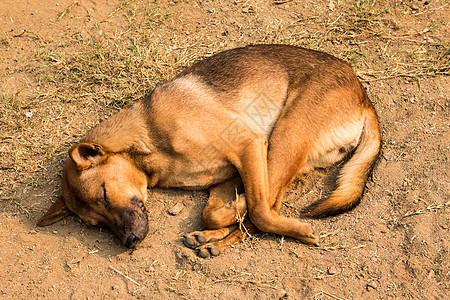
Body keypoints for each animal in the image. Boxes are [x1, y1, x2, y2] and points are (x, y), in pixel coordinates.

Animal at [37, 44, 380, 258]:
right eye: (95, 224)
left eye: (106, 195)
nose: (129, 241)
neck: (150, 139)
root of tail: (363, 97)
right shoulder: (225, 177)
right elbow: (213, 212)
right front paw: (225, 217)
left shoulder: (248, 146)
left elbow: (257, 206)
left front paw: (242, 208)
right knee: (270, 202)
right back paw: (214, 240)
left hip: (285, 136)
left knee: (269, 204)